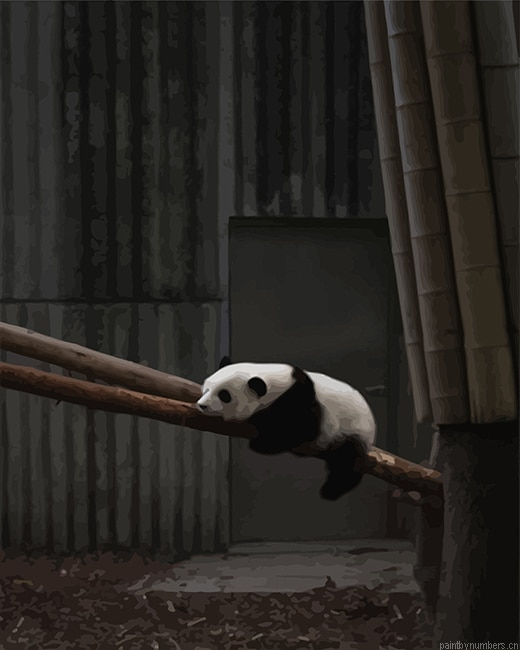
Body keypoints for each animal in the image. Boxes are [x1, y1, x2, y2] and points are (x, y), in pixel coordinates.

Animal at [197, 357, 376, 501]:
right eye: (206, 388)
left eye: (224, 395)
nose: (202, 405)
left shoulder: (298, 398)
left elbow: (300, 428)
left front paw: (262, 443)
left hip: (353, 430)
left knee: (348, 458)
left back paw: (331, 490)